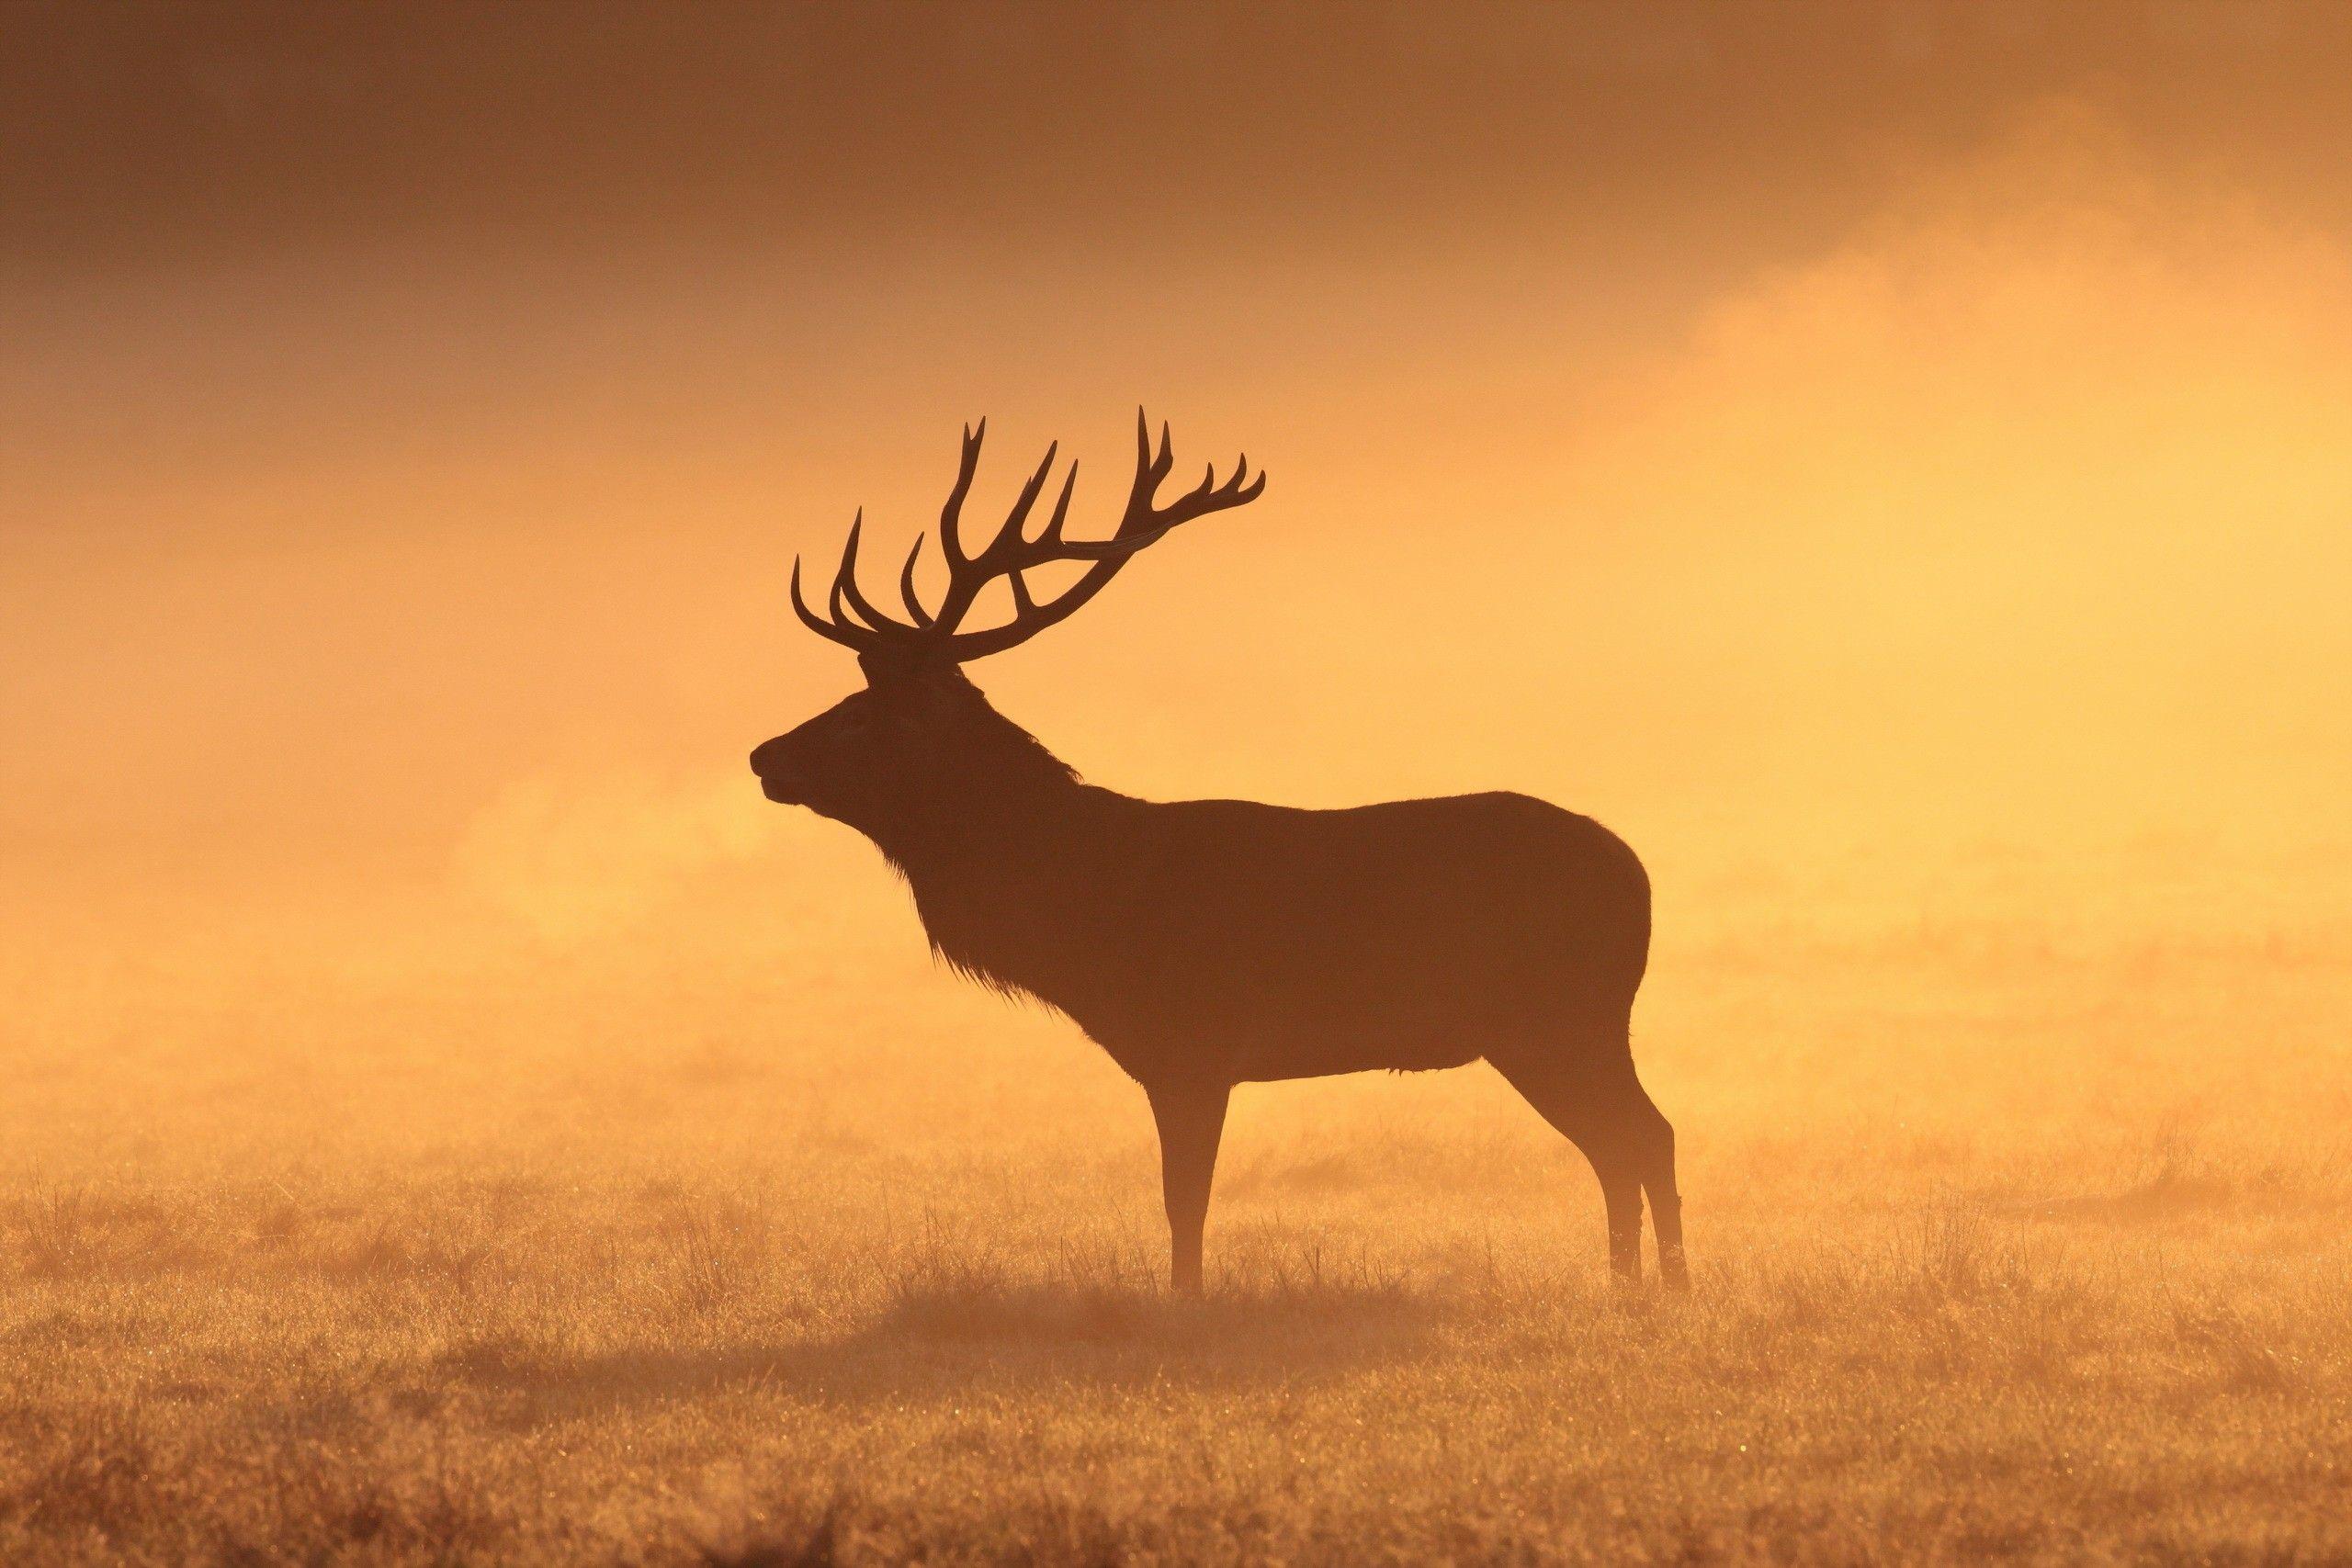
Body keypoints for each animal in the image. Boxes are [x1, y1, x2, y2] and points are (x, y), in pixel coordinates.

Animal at [750, 414, 1686, 1293]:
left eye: (863, 717)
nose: (763, 755)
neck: (1087, 906)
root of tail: (1638, 875)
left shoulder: (1192, 1043)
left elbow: (1184, 1199)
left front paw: (1186, 1301)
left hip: (1561, 1014)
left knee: (1645, 1134)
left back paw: (1666, 1288)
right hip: (1566, 1024)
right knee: (1626, 1142)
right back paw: (1630, 1285)